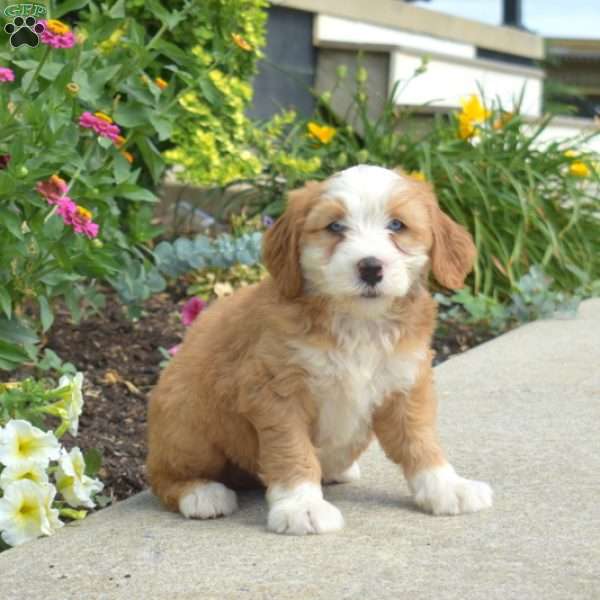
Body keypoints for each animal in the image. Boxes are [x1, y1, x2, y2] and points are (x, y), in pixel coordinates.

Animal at [146, 164, 492, 536]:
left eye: (397, 225)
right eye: (335, 227)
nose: (370, 267)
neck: (359, 323)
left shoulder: (406, 381)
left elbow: (420, 438)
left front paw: (447, 486)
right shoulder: (276, 392)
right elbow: (292, 450)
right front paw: (302, 506)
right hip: (187, 422)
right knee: (162, 475)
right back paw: (201, 494)